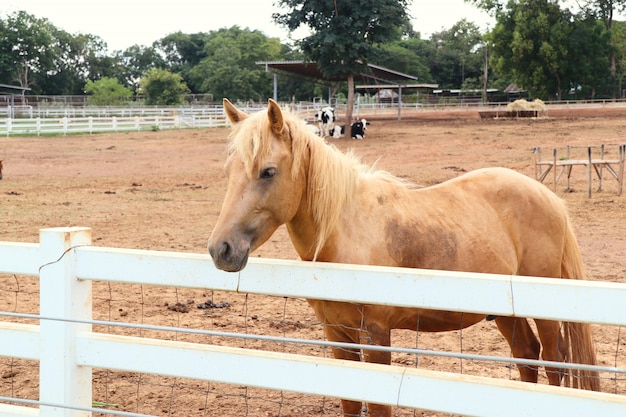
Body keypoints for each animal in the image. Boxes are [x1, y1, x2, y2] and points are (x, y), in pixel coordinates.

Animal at [208, 99, 600, 414]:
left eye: (268, 171)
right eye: (228, 172)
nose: (221, 249)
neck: (346, 232)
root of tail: (550, 198)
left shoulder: (376, 335)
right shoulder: (337, 335)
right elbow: (351, 404)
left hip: (545, 312)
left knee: (554, 362)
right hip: (505, 313)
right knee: (526, 355)